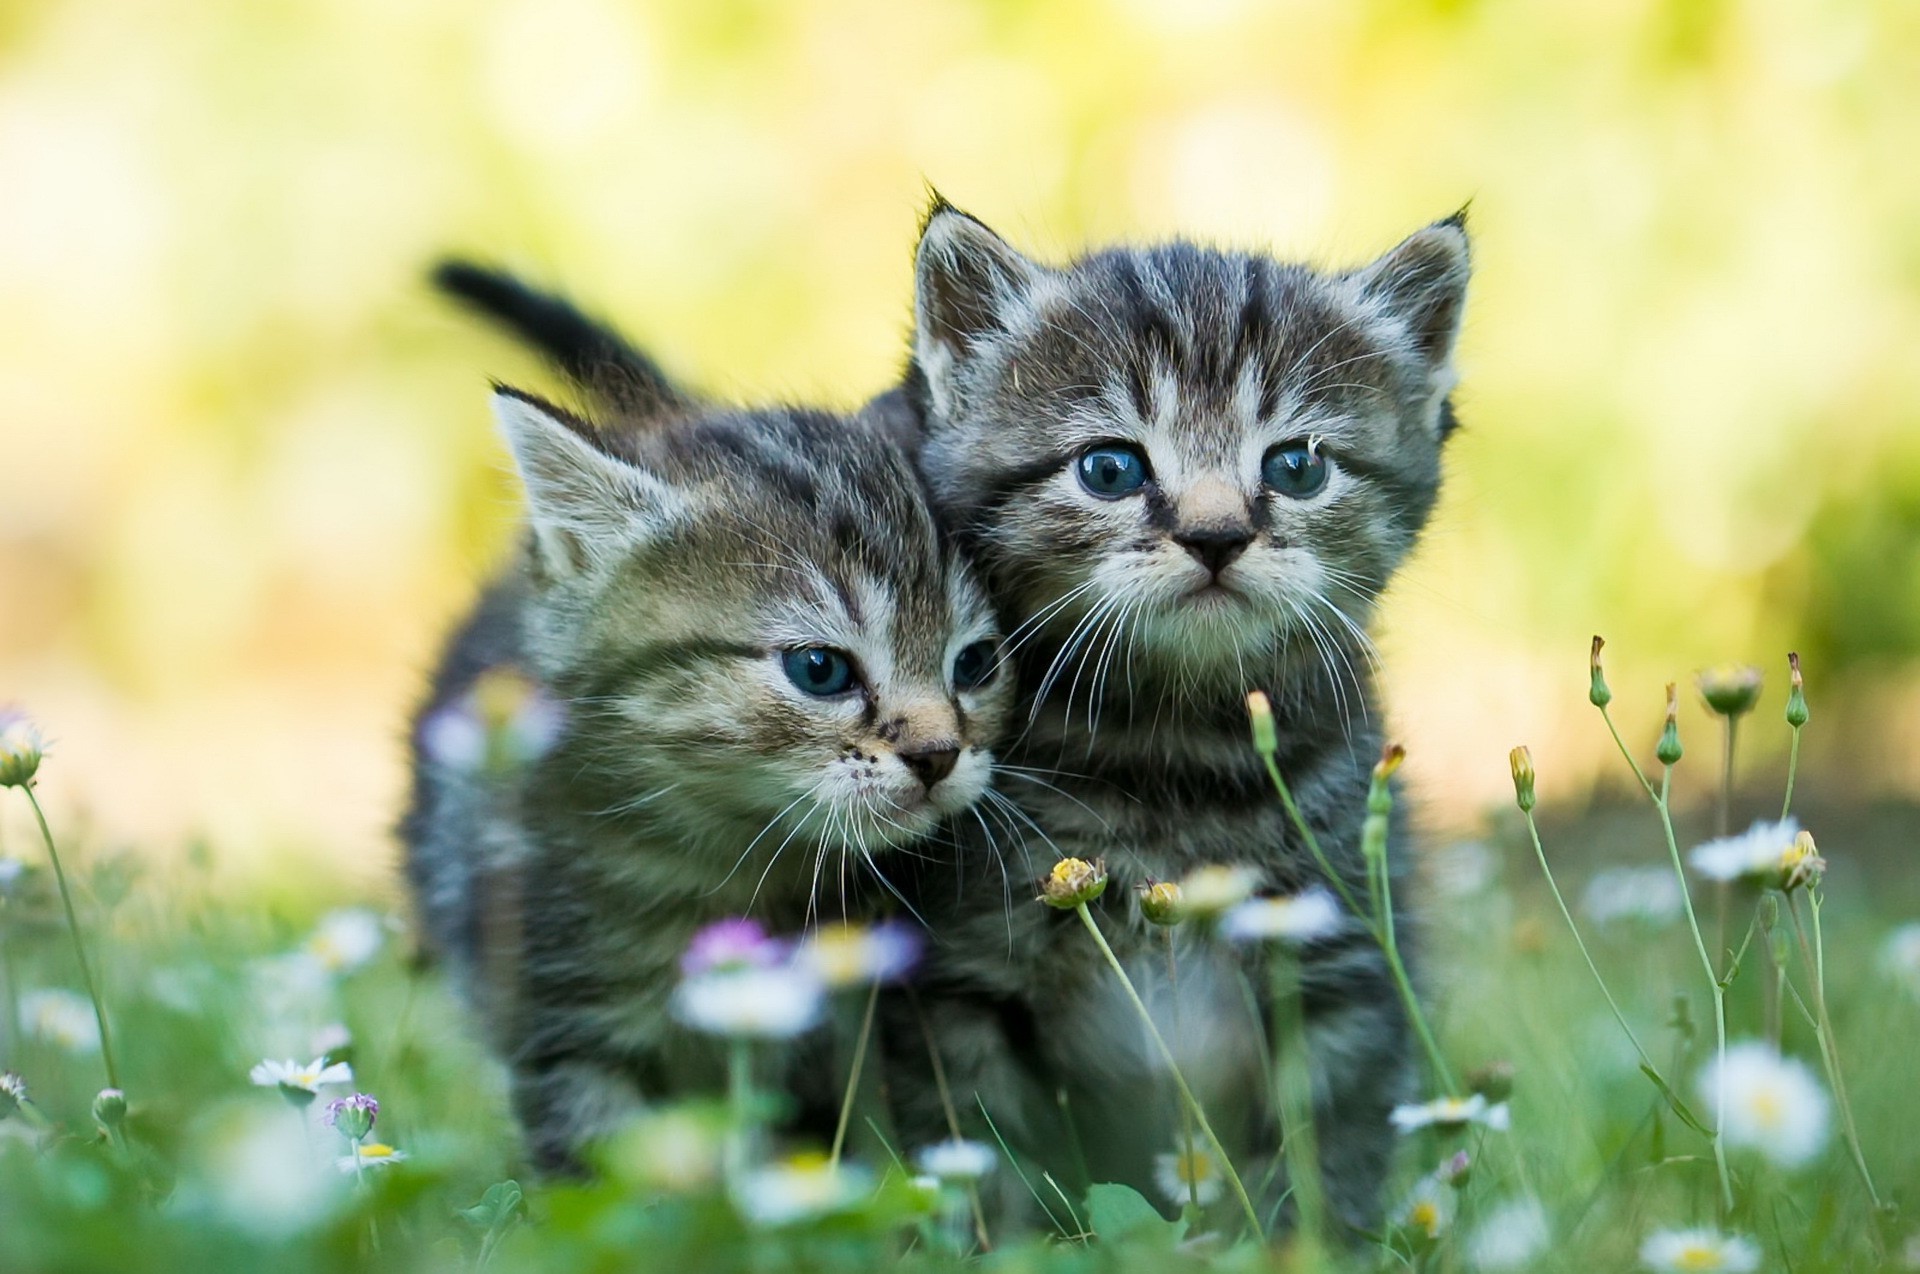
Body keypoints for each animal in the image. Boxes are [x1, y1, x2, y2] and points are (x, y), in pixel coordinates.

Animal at [894, 204, 1466, 1227]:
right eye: (1110, 467)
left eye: (1297, 465)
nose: (1215, 535)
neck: (1170, 754)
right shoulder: (957, 988)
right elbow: (981, 1167)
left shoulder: (1343, 972)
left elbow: (1324, 1161)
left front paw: (1304, 1240)